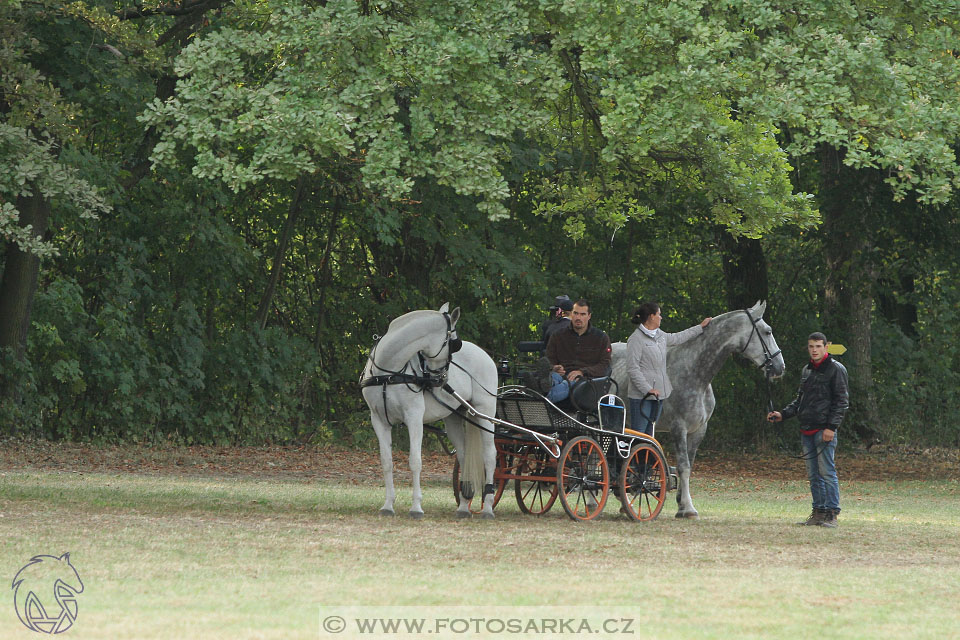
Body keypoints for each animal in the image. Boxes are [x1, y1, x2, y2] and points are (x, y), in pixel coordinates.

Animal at [358, 302, 498, 516]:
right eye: (455, 343)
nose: (441, 379)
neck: (388, 371)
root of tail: (484, 354)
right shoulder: (379, 420)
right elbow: (386, 462)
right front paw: (388, 505)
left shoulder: (414, 417)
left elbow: (415, 461)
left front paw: (416, 507)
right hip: (454, 417)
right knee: (464, 454)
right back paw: (463, 506)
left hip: (486, 411)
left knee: (490, 455)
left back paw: (488, 507)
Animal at [612, 302, 784, 520]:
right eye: (767, 331)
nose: (780, 367)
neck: (694, 373)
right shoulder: (679, 428)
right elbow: (683, 466)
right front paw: (688, 508)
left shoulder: (698, 430)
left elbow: (689, 466)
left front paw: (681, 505)